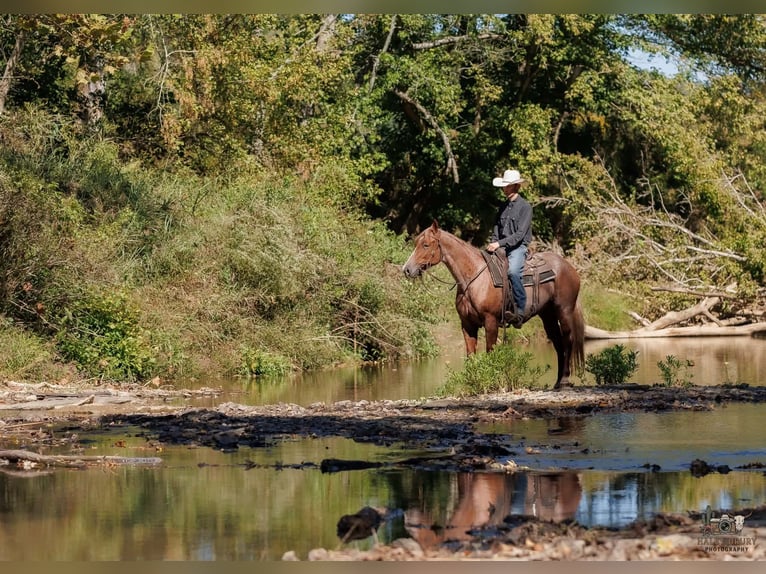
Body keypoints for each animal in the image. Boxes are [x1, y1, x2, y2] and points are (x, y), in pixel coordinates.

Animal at [402, 221, 585, 389]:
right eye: (416, 243)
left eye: (426, 244)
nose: (407, 269)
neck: (473, 278)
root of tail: (569, 267)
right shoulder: (467, 324)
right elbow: (470, 355)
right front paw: (473, 384)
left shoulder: (491, 321)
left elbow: (490, 351)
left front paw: (492, 382)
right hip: (547, 315)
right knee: (558, 343)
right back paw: (558, 382)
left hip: (564, 310)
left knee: (567, 340)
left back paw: (565, 380)